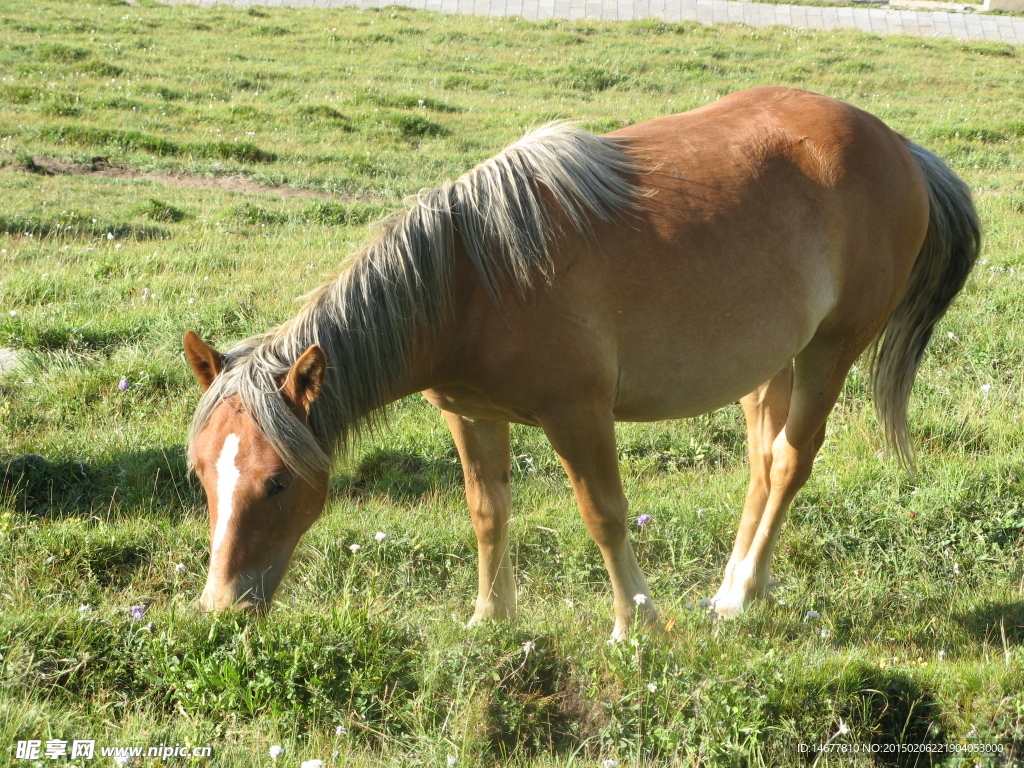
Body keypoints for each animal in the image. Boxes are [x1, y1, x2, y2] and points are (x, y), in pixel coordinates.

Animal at [186, 87, 983, 638]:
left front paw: (636, 625)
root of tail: (899, 146)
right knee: (762, 466)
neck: (472, 278)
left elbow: (604, 515)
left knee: (790, 461)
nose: (221, 608)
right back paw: (734, 589)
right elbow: (487, 511)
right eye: (200, 476)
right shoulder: (470, 417)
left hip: (829, 351)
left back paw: (740, 595)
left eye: (278, 481)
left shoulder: (578, 414)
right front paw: (490, 618)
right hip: (771, 366)